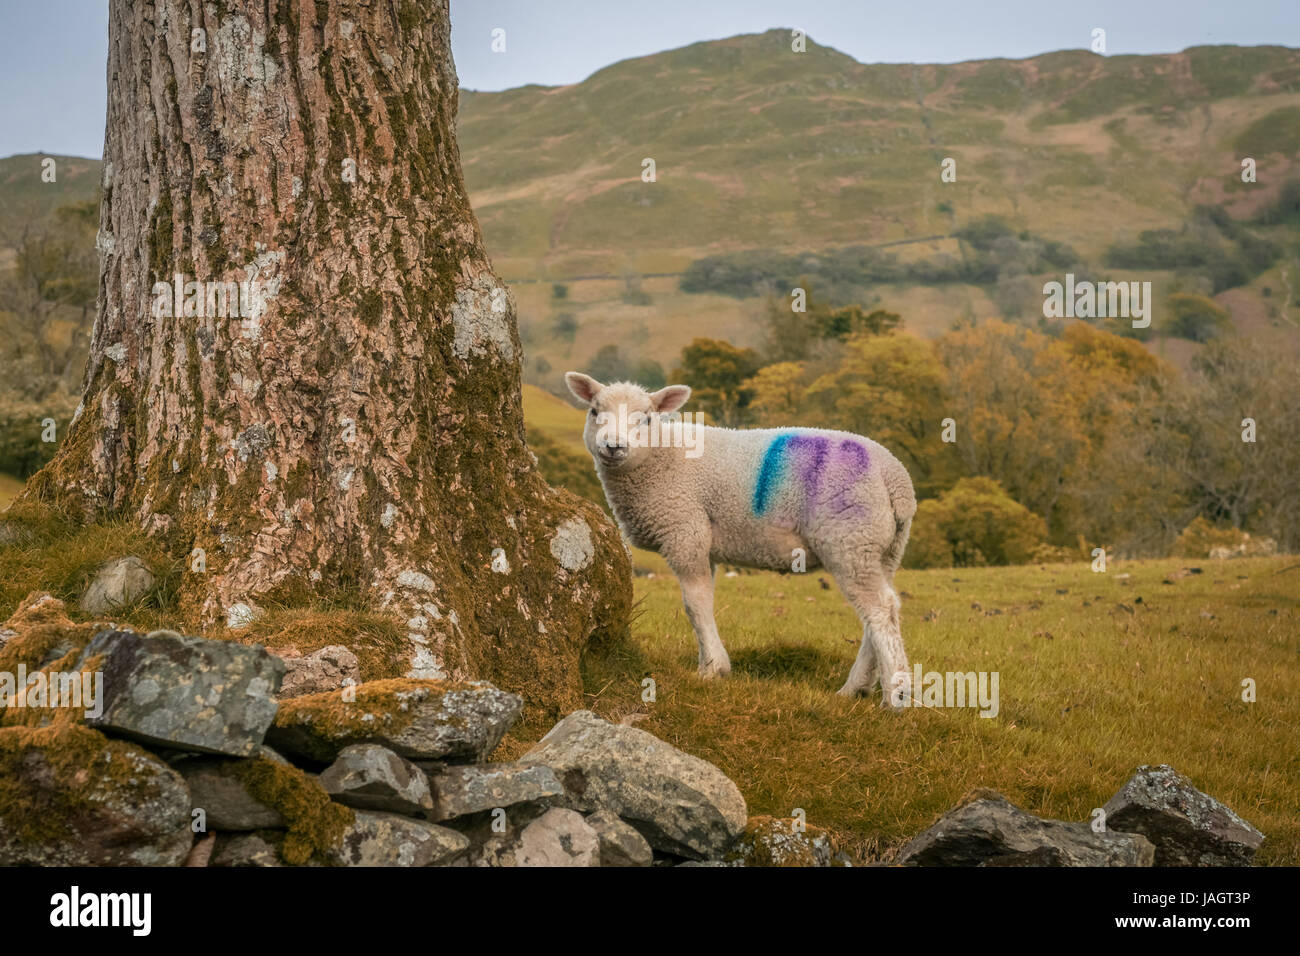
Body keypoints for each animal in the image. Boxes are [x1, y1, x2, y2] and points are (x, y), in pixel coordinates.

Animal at [564, 369, 920, 707]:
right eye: (594, 411)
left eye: (647, 418)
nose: (613, 446)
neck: (661, 458)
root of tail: (895, 478)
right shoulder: (703, 540)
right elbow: (703, 601)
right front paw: (709, 664)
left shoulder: (685, 529)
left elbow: (695, 603)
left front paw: (713, 669)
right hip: (883, 548)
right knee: (881, 611)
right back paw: (856, 688)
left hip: (850, 538)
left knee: (880, 609)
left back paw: (894, 696)